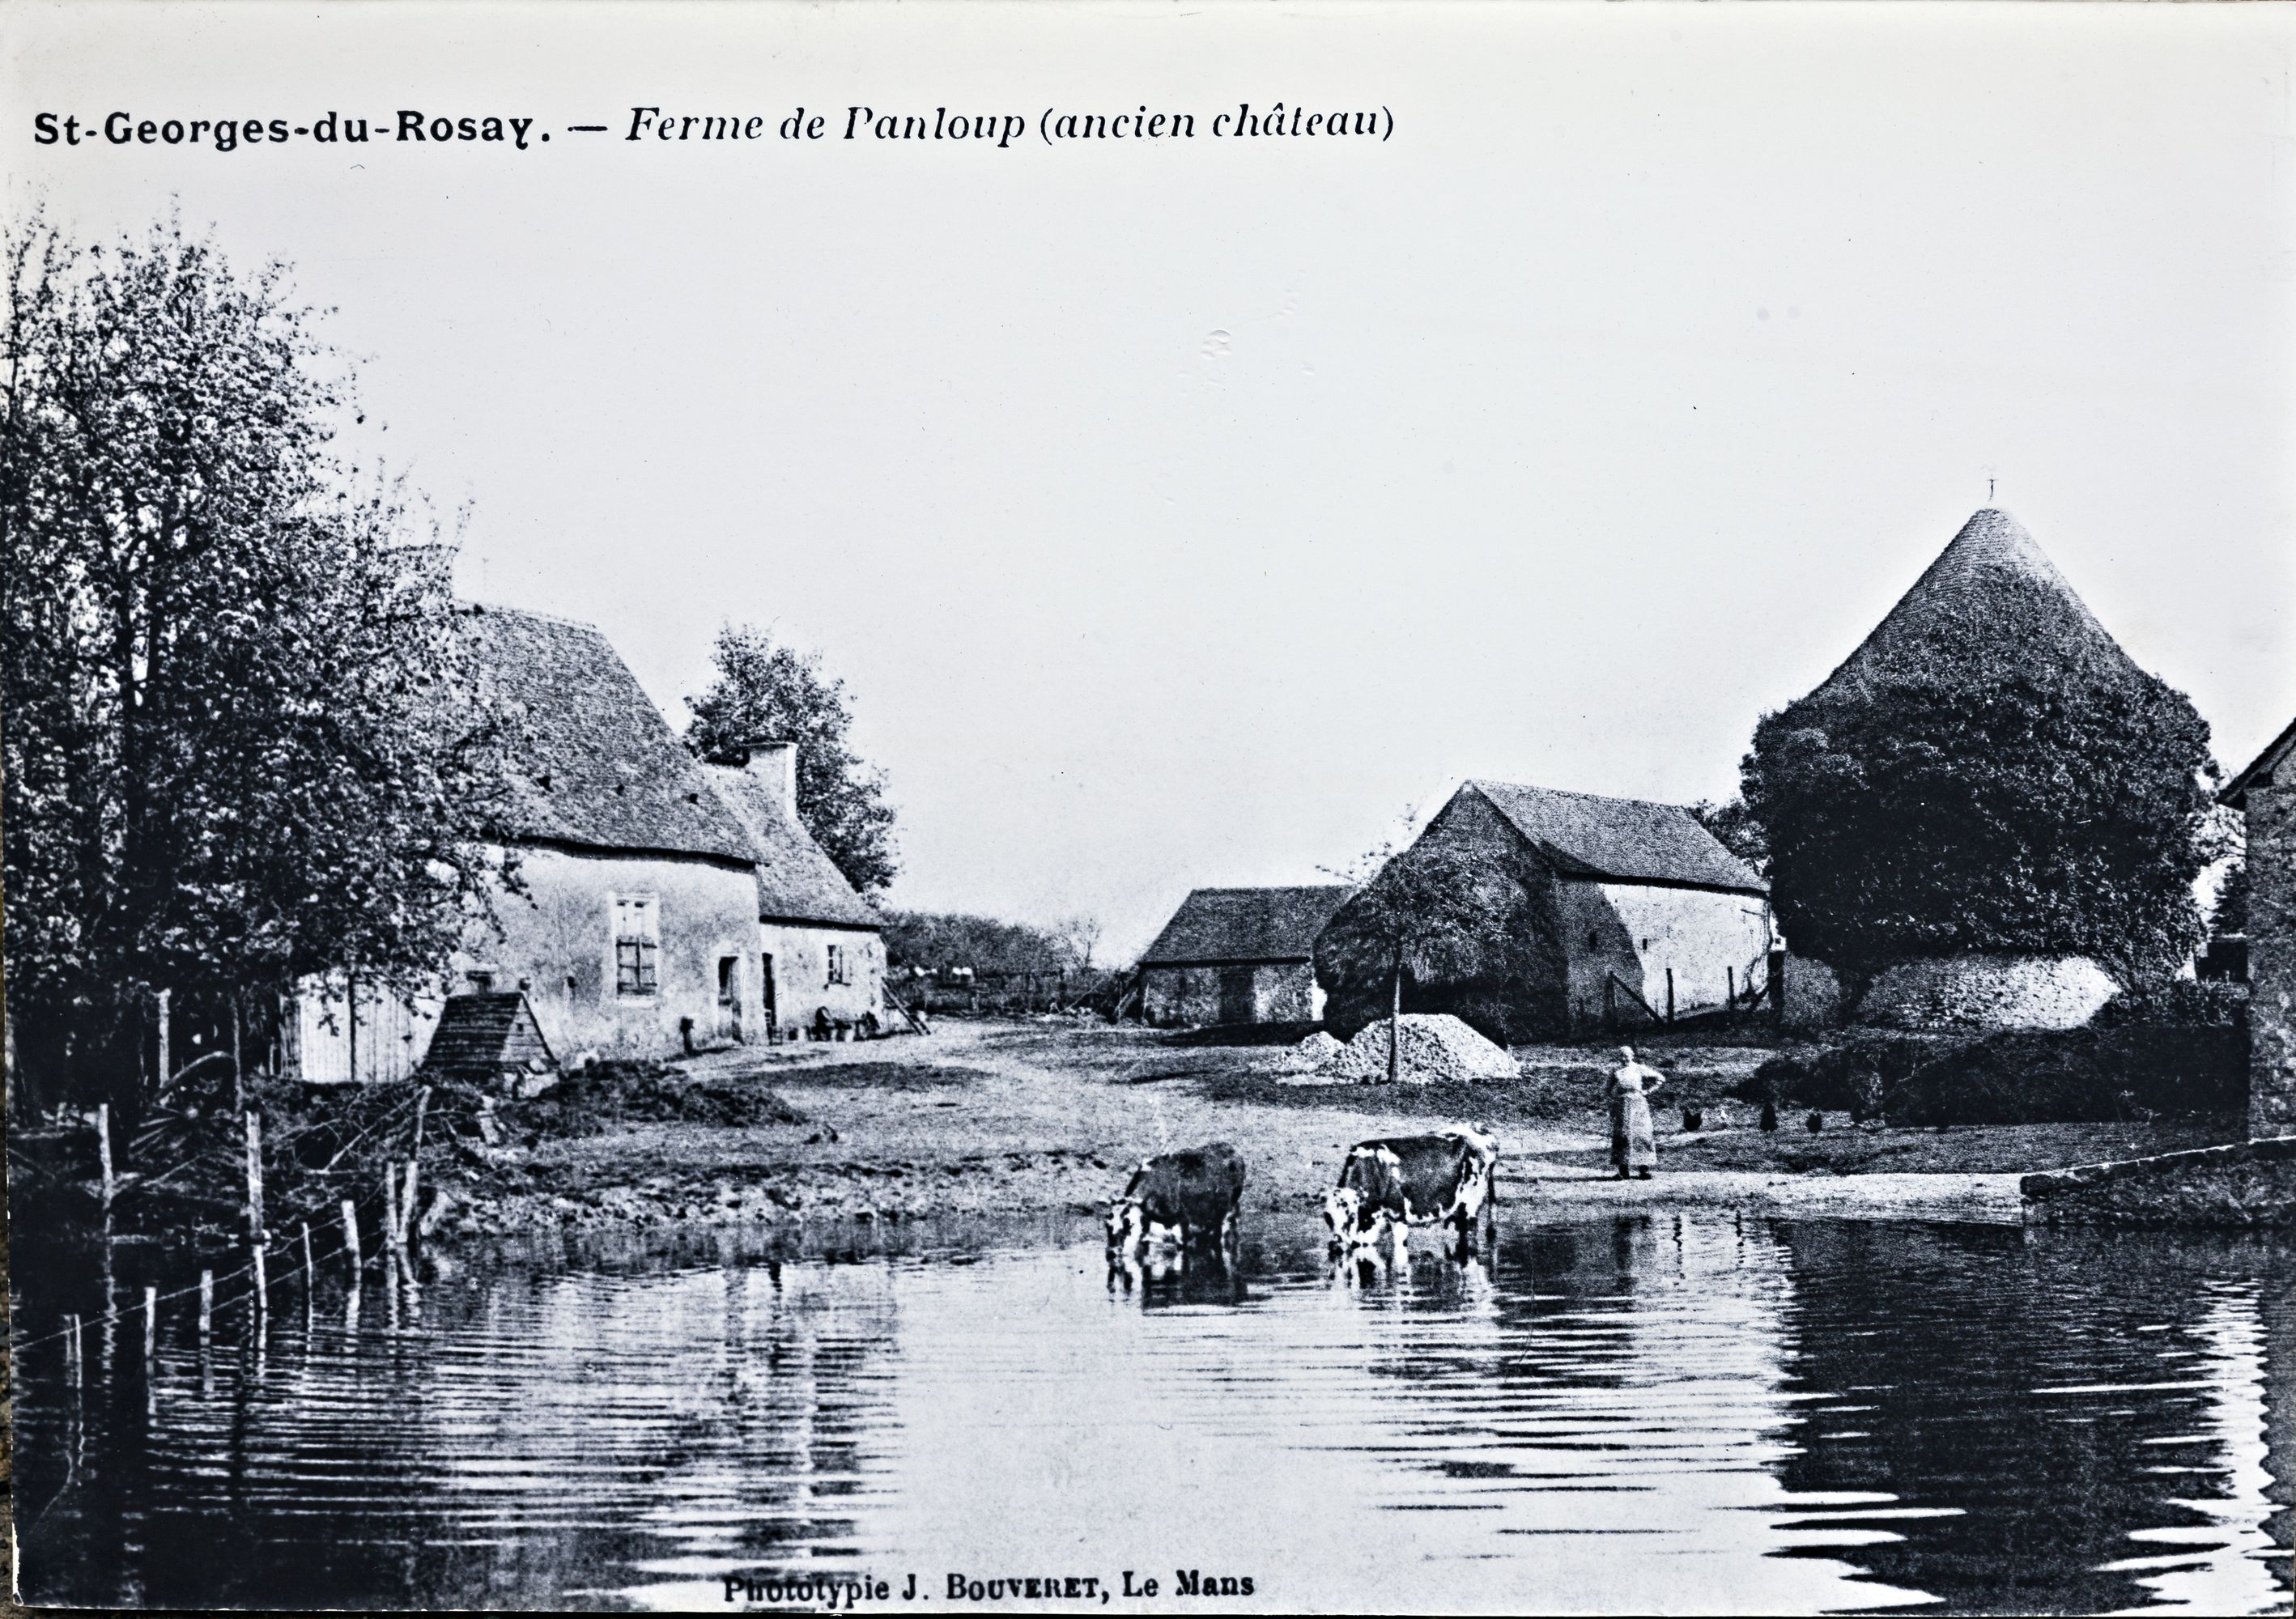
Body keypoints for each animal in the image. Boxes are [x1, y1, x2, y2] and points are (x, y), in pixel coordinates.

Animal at [1102, 1143, 1248, 1258]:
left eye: (1126, 1226)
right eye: (1107, 1226)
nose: (1111, 1253)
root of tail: (1233, 1151)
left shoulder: (1183, 1219)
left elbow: (1183, 1244)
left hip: (1229, 1206)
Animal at [1322, 1125, 1497, 1267]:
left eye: (1350, 1216)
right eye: (1328, 1218)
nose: (1335, 1247)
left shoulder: (1399, 1217)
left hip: (1472, 1204)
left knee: (1471, 1238)